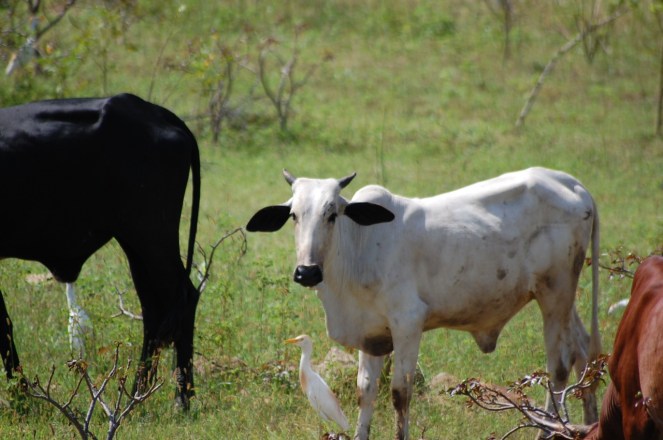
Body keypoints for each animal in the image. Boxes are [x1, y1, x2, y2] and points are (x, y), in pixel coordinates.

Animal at [0, 93, 201, 409]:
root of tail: (158, 113)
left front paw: (21, 398)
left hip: (152, 236)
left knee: (183, 298)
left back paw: (181, 398)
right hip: (135, 244)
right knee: (155, 310)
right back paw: (138, 394)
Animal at [246, 167, 601, 440]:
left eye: (332, 214)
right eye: (294, 215)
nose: (307, 271)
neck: (359, 246)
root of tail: (574, 184)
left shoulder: (407, 324)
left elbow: (400, 394)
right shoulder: (371, 334)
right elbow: (365, 391)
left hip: (554, 292)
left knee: (559, 364)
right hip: (564, 297)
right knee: (584, 351)